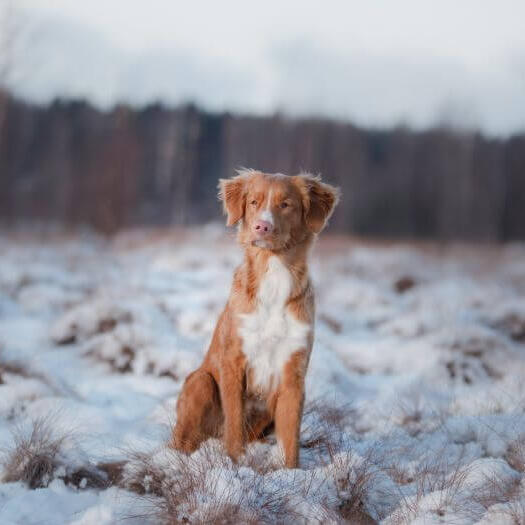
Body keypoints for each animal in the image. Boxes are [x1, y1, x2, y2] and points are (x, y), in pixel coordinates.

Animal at [172, 168, 340, 466]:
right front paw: (234, 464)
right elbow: (234, 424)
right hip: (200, 381)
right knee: (184, 440)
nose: (262, 227)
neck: (273, 273)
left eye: (286, 204)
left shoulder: (293, 372)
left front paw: (291, 473)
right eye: (253, 202)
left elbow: (290, 440)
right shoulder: (234, 362)